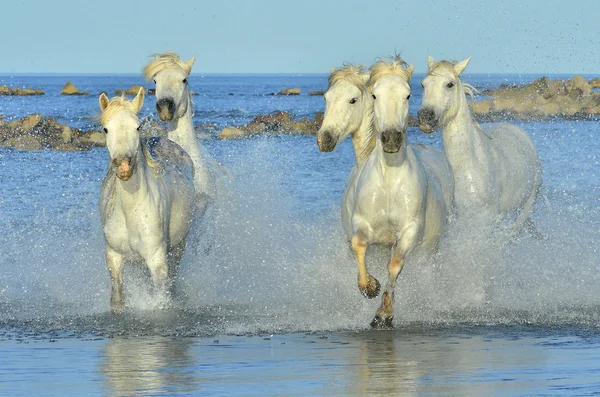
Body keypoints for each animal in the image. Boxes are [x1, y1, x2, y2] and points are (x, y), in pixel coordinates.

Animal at [99, 87, 195, 312]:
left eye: (137, 127)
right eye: (106, 129)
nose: (124, 166)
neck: (131, 210)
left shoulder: (156, 258)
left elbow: (160, 296)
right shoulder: (114, 257)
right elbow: (118, 299)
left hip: (179, 246)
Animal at [346, 57, 454, 326]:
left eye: (408, 95)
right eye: (374, 95)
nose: (391, 138)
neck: (389, 181)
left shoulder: (409, 230)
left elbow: (394, 264)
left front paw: (383, 314)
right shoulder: (362, 222)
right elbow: (358, 245)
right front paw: (369, 286)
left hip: (429, 249)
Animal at [418, 56, 544, 235]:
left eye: (450, 84)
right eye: (423, 84)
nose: (425, 117)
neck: (469, 166)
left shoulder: (486, 219)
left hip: (527, 203)